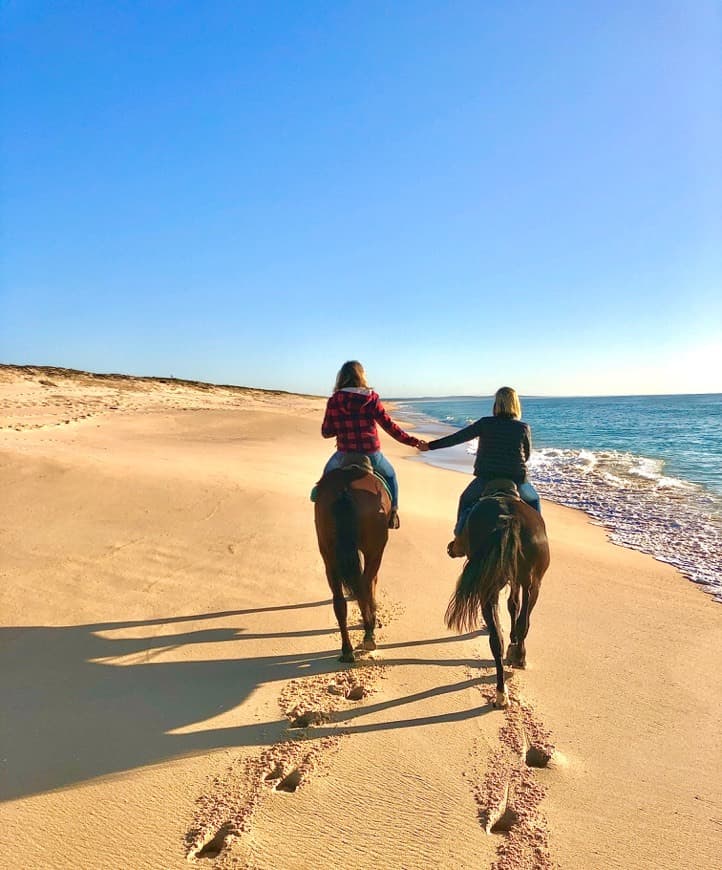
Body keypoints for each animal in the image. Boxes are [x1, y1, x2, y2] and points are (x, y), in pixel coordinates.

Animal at [310, 460, 388, 664]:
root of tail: (345, 489)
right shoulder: (374, 553)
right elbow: (372, 584)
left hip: (328, 552)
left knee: (339, 600)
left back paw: (346, 649)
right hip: (374, 549)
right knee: (363, 588)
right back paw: (369, 634)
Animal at [442, 480, 548, 712]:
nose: (450, 547)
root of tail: (509, 519)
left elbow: (513, 606)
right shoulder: (517, 581)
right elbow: (515, 607)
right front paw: (514, 644)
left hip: (494, 586)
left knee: (498, 637)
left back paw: (502, 690)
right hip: (531, 585)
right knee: (519, 626)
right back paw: (515, 664)